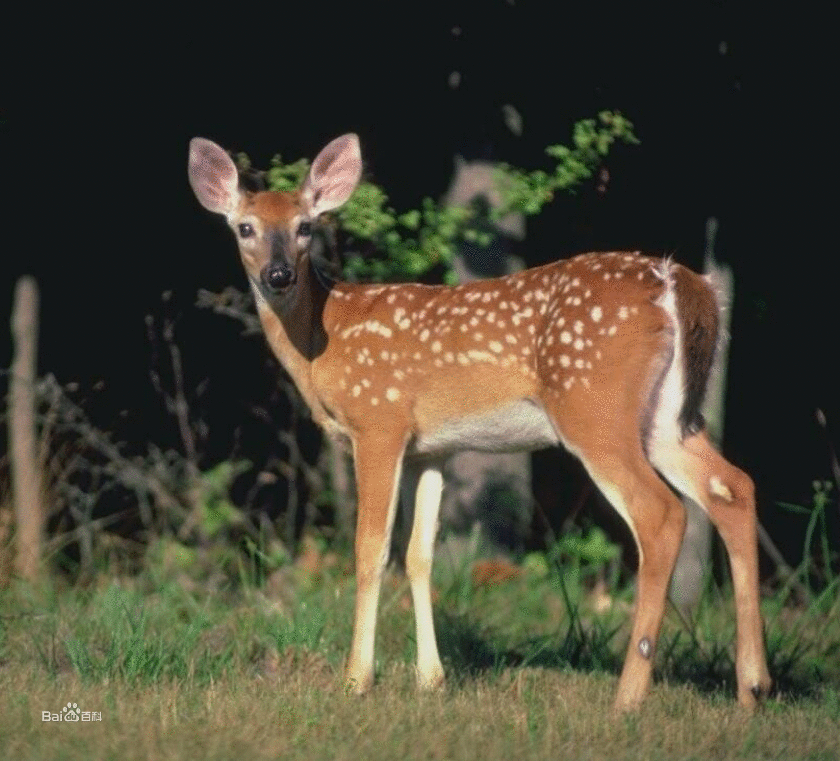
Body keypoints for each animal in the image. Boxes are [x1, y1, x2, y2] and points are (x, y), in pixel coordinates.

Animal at [187, 132, 772, 712]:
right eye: (245, 227)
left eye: (305, 226)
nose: (278, 275)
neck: (323, 341)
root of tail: (680, 283)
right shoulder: (431, 448)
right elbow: (420, 555)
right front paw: (431, 678)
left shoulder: (379, 421)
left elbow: (370, 549)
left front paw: (356, 679)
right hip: (668, 418)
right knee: (732, 486)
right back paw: (753, 686)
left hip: (593, 407)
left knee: (662, 513)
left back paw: (628, 694)